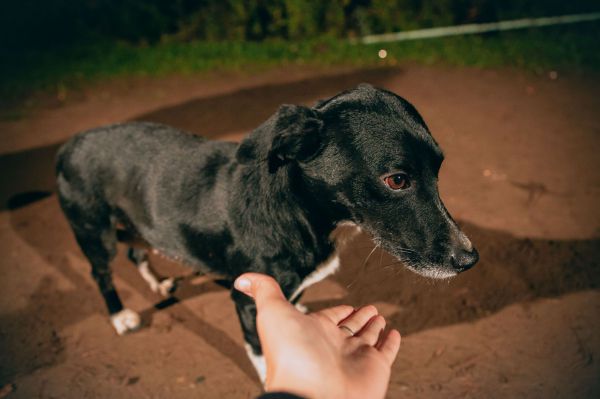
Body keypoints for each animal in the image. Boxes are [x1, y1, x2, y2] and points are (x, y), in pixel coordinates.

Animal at [56, 83, 478, 382]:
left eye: (438, 171)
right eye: (397, 179)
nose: (470, 258)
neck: (299, 214)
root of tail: (69, 144)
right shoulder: (247, 299)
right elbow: (262, 350)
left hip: (137, 225)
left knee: (136, 250)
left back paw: (158, 283)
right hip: (94, 231)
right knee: (100, 272)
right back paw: (119, 316)